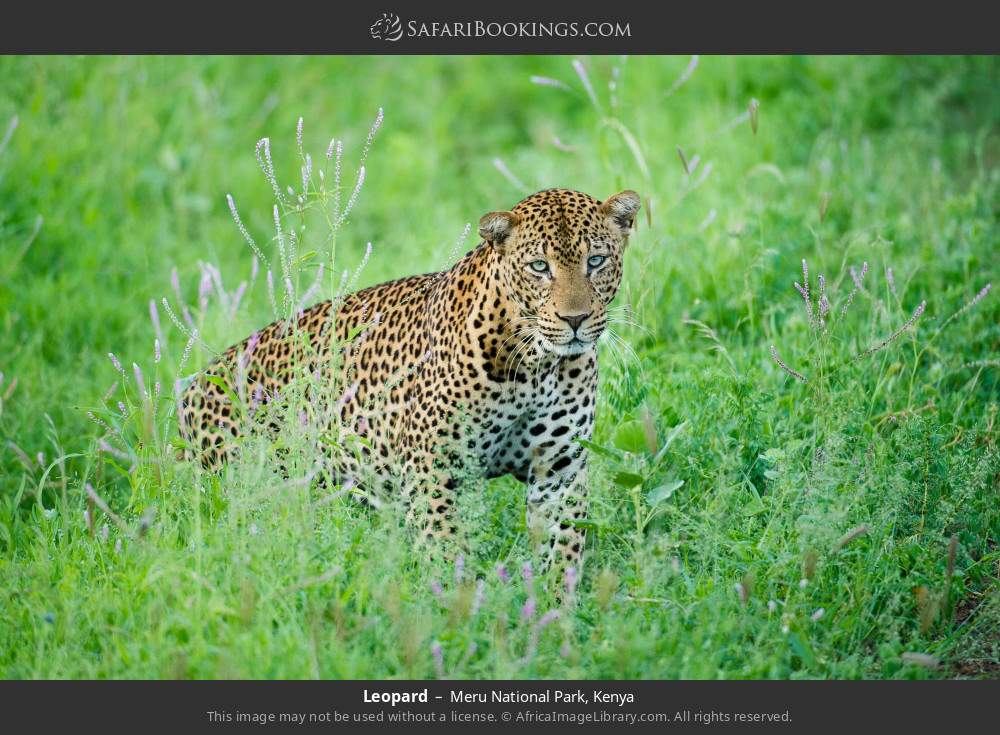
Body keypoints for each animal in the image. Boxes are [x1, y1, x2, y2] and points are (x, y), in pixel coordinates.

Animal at [178, 187, 641, 579]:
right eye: (539, 267)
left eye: (596, 262)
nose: (575, 319)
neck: (536, 367)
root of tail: (193, 387)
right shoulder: (431, 466)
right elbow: (445, 551)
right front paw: (458, 609)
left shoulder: (559, 470)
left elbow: (563, 552)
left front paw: (556, 613)